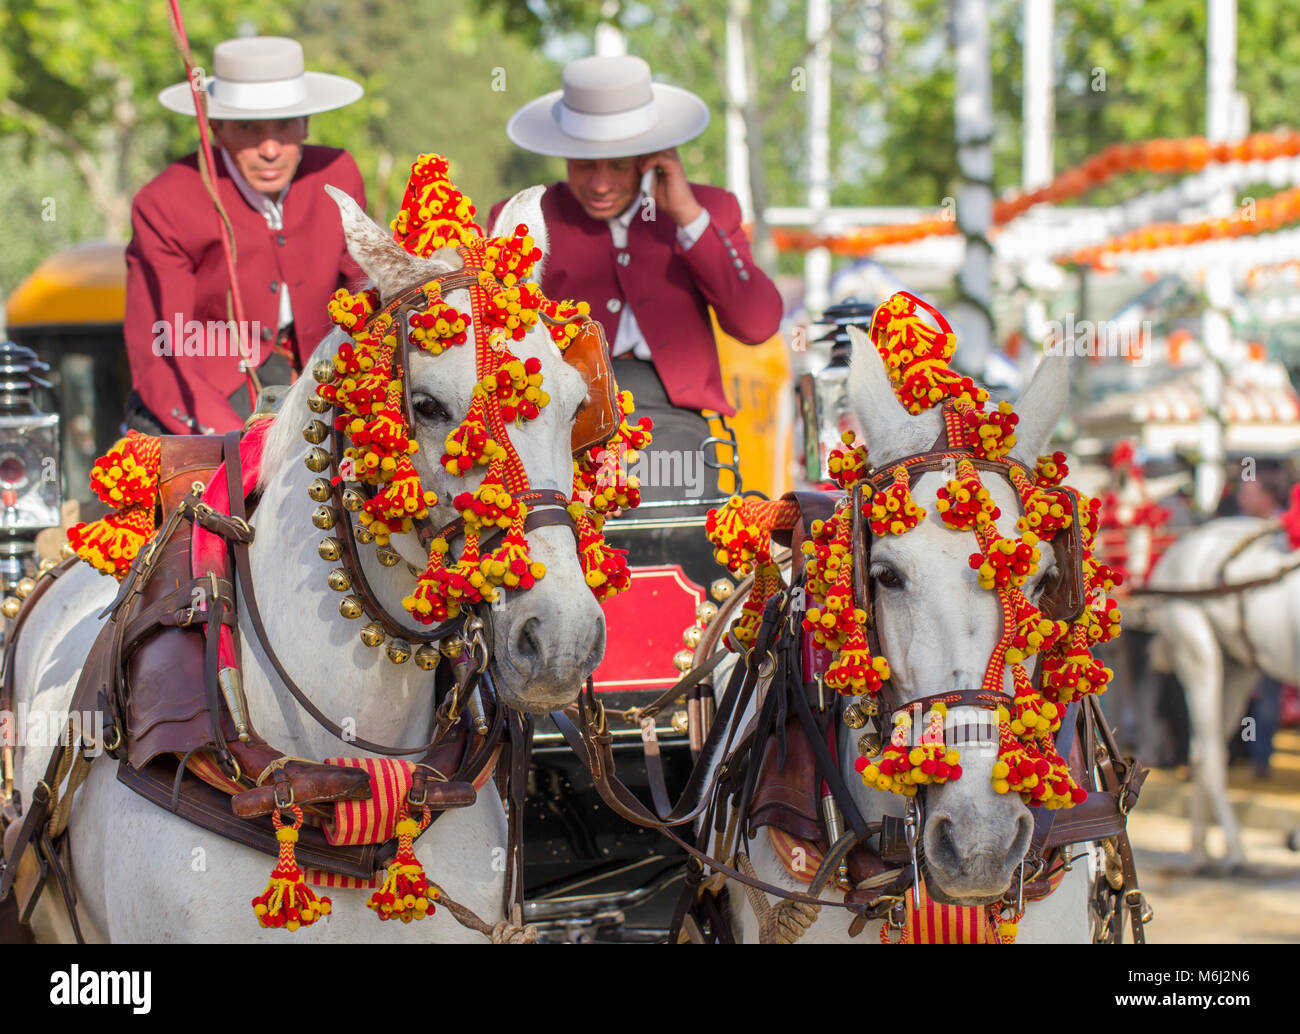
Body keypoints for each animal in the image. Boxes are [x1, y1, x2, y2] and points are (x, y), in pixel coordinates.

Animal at [1144, 522, 1294, 868]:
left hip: (1237, 670)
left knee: (1201, 751)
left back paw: (1202, 850)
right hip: (1198, 656)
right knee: (1211, 754)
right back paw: (1235, 850)